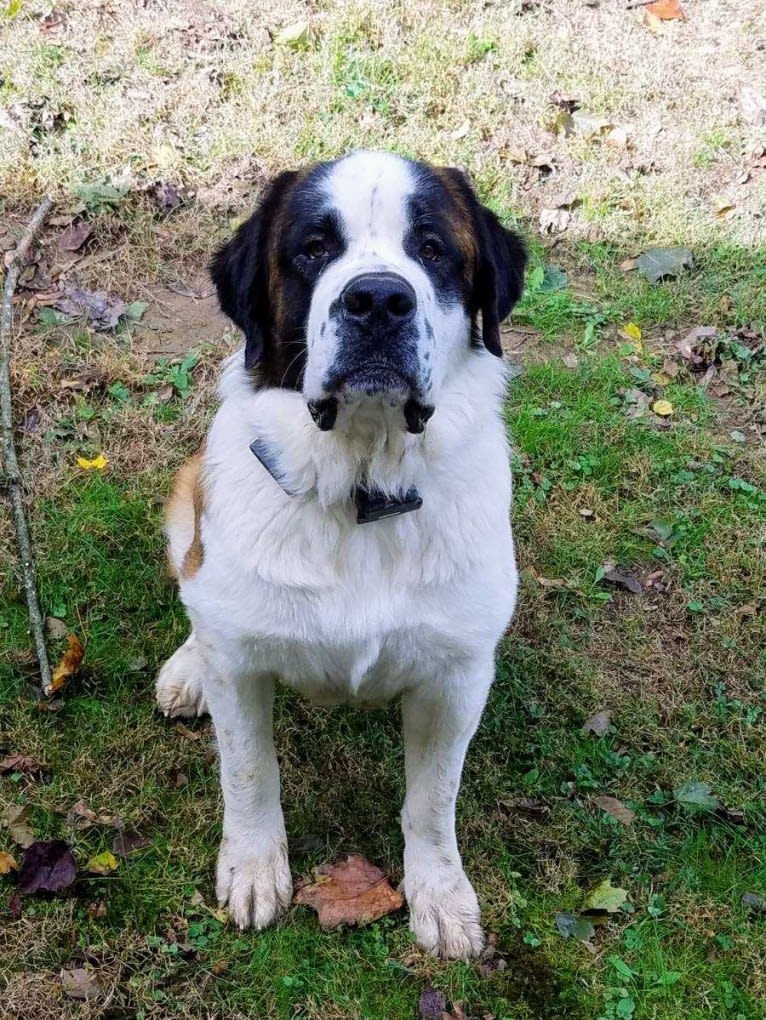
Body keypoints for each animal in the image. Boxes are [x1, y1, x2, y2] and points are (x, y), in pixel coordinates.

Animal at [156, 147, 526, 958]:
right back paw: (187, 668)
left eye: (432, 248)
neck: (360, 489)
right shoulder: (242, 671)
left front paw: (441, 896)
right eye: (314, 249)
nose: (378, 300)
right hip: (186, 495)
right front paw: (254, 870)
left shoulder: (458, 678)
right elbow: (249, 772)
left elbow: (433, 799)